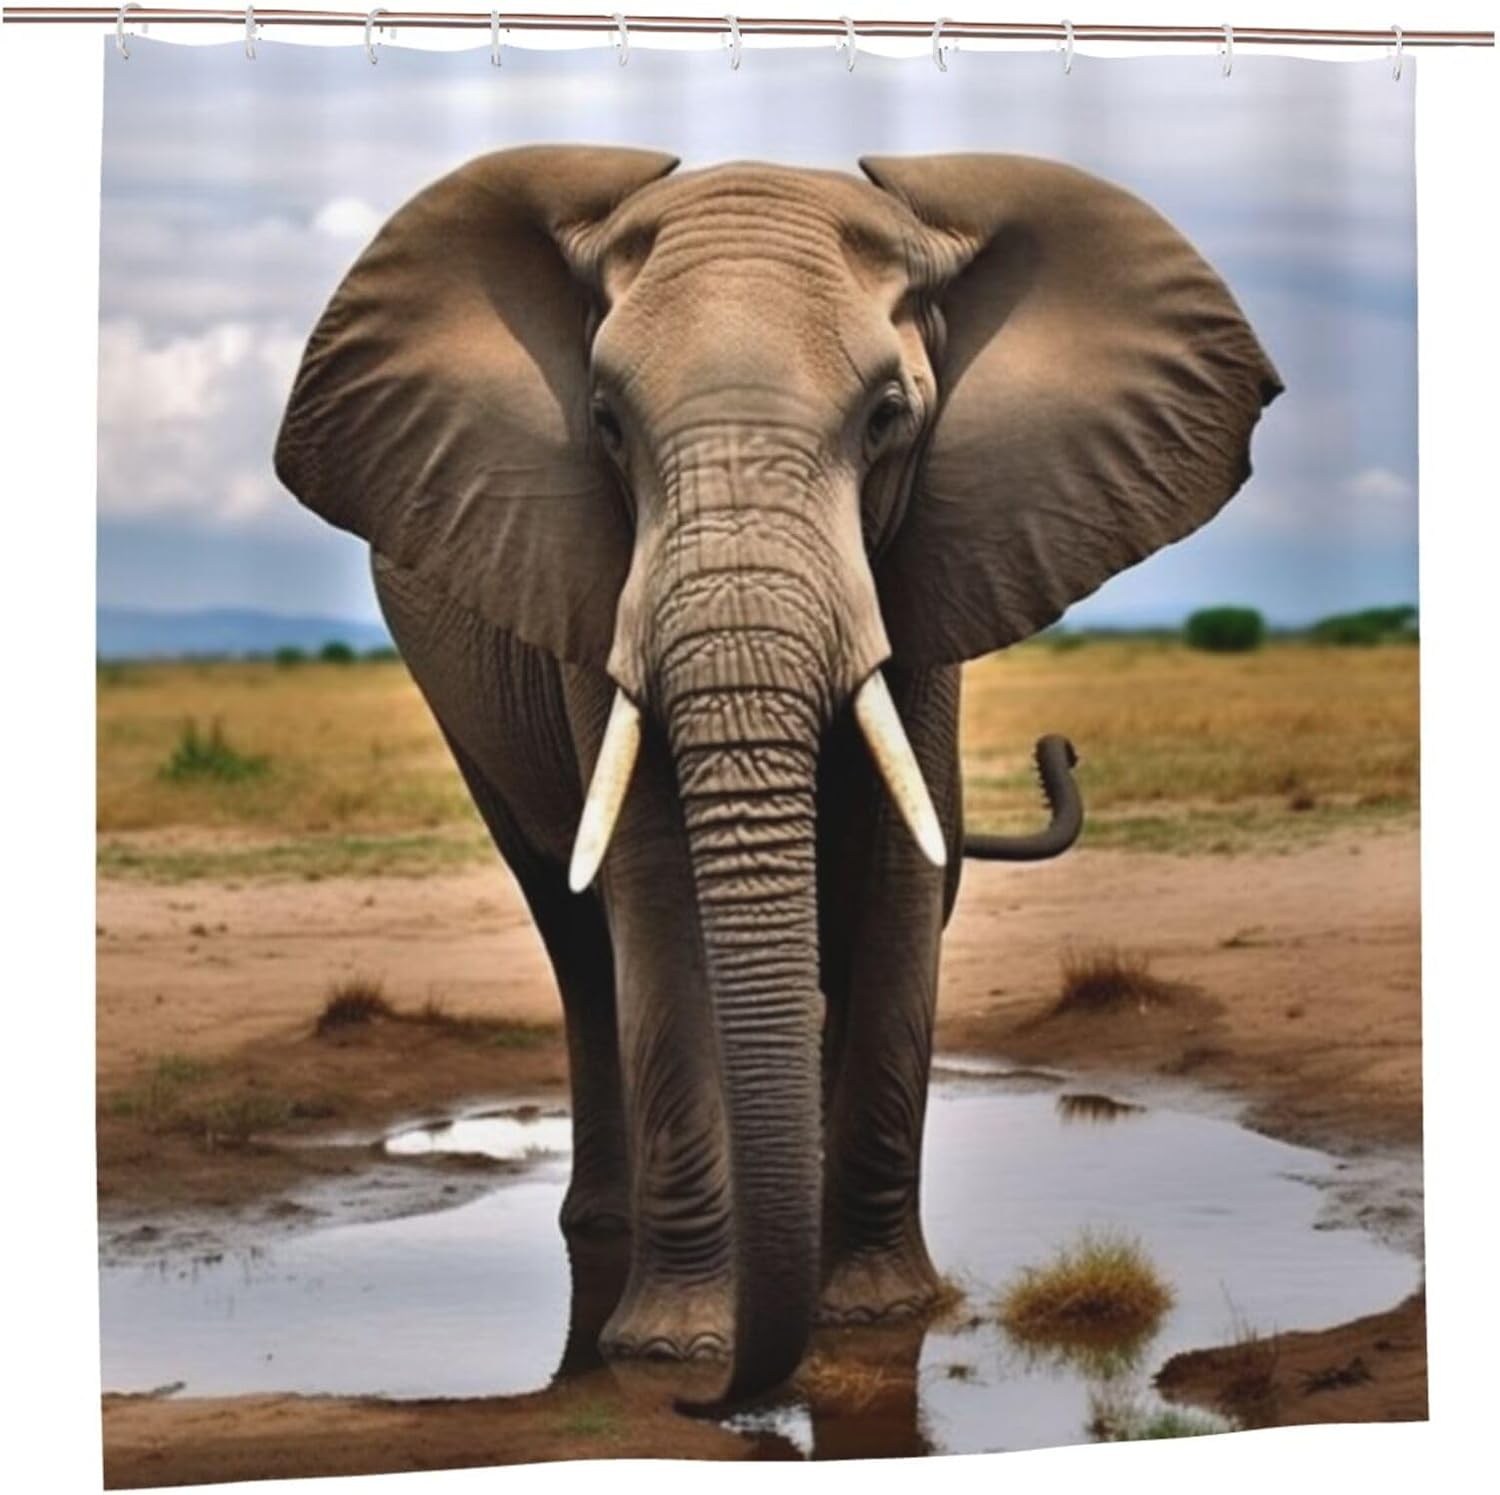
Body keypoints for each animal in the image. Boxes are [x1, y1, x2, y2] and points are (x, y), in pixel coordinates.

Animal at [275, 147, 1280, 1407]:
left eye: (889, 418)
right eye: (604, 423)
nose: (723, 1403)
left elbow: (899, 883)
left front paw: (876, 1313)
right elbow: (654, 890)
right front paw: (679, 1347)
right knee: (573, 930)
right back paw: (609, 1229)